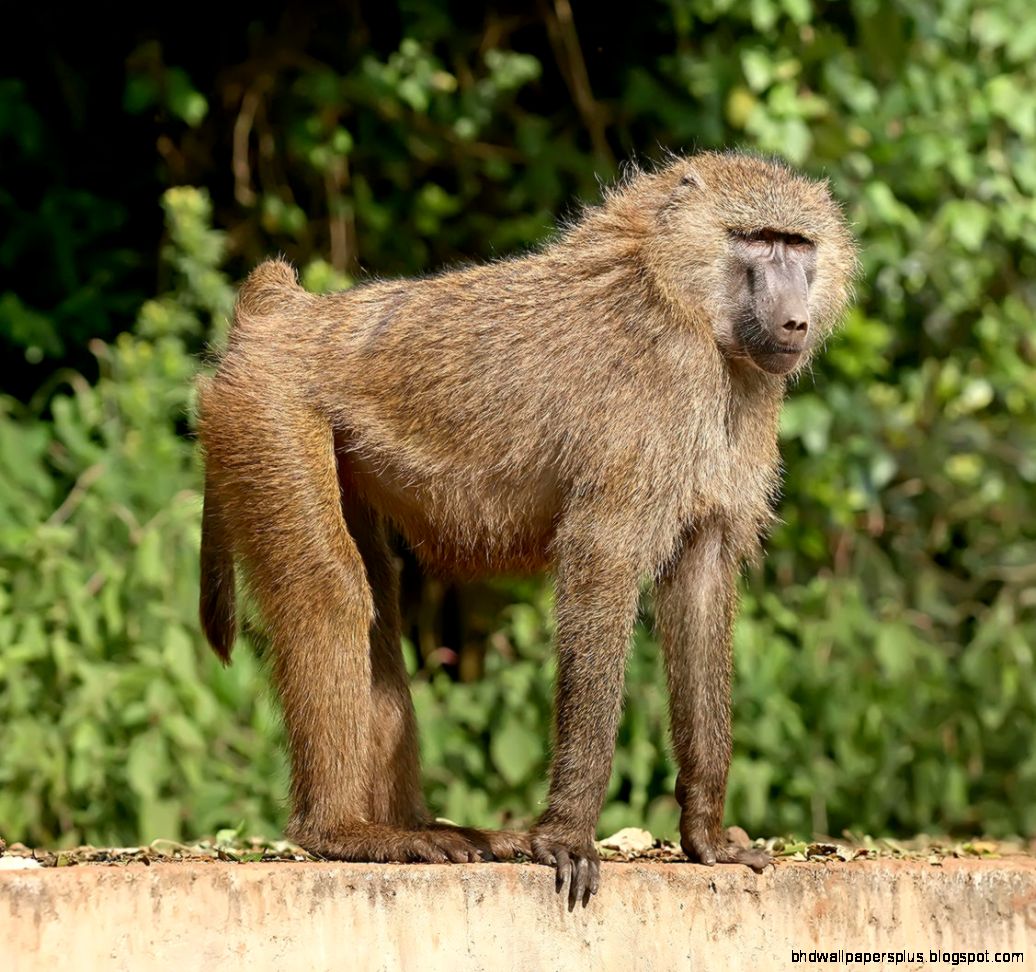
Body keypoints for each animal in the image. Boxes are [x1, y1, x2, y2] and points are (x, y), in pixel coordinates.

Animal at [197, 150, 857, 907]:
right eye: (759, 240)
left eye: (799, 245)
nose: (794, 322)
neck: (681, 298)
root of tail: (285, 315)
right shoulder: (657, 401)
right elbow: (601, 561)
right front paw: (567, 837)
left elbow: (701, 587)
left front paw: (708, 839)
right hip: (268, 411)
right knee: (330, 592)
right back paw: (343, 832)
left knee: (377, 620)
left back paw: (415, 827)